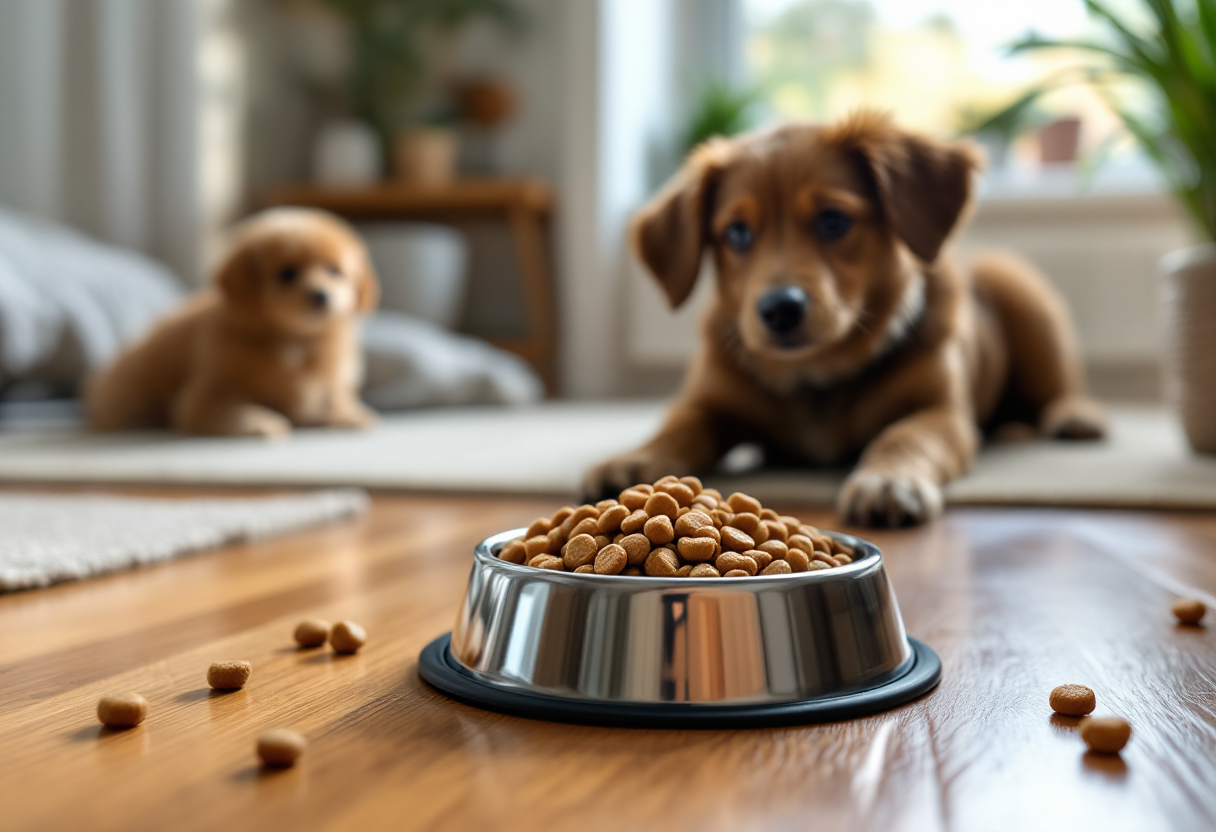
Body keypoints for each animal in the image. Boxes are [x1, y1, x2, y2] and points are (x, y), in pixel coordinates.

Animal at [86, 206, 376, 435]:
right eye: (286, 274)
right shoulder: (206, 395)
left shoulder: (324, 385)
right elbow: (234, 412)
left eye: (334, 271)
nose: (320, 295)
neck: (293, 341)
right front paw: (259, 422)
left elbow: (334, 398)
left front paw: (348, 414)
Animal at [583, 110, 1108, 525]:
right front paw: (635, 460)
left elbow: (903, 437)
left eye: (833, 220)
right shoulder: (708, 402)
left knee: (1059, 387)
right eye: (736, 233)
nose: (779, 308)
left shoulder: (941, 414)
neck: (817, 373)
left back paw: (1075, 416)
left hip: (1023, 293)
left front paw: (887, 481)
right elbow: (678, 428)